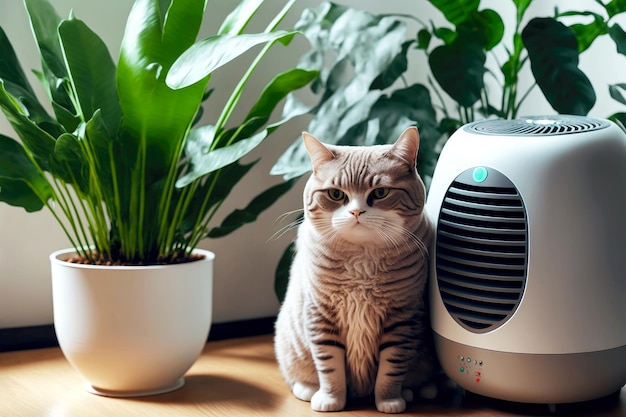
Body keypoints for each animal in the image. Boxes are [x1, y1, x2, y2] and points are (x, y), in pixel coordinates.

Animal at [272, 127, 434, 412]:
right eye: (336, 195)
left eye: (380, 193)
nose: (357, 212)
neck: (362, 262)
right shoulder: (320, 316)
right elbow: (329, 367)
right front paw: (330, 400)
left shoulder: (402, 318)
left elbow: (391, 368)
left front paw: (389, 400)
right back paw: (307, 389)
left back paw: (416, 391)